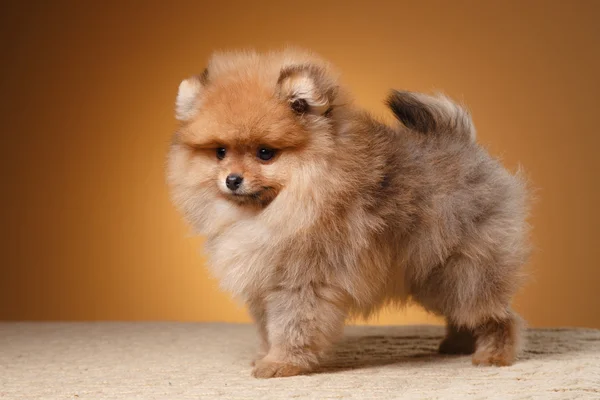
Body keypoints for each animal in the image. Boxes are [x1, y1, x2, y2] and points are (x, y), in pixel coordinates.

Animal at [166, 48, 532, 376]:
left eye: (265, 153)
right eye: (220, 152)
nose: (232, 179)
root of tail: (466, 145)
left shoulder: (300, 281)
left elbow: (290, 325)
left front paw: (281, 363)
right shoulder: (264, 281)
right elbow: (268, 327)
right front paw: (266, 355)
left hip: (464, 268)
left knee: (495, 314)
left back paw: (493, 354)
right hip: (433, 275)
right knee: (464, 310)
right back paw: (457, 344)